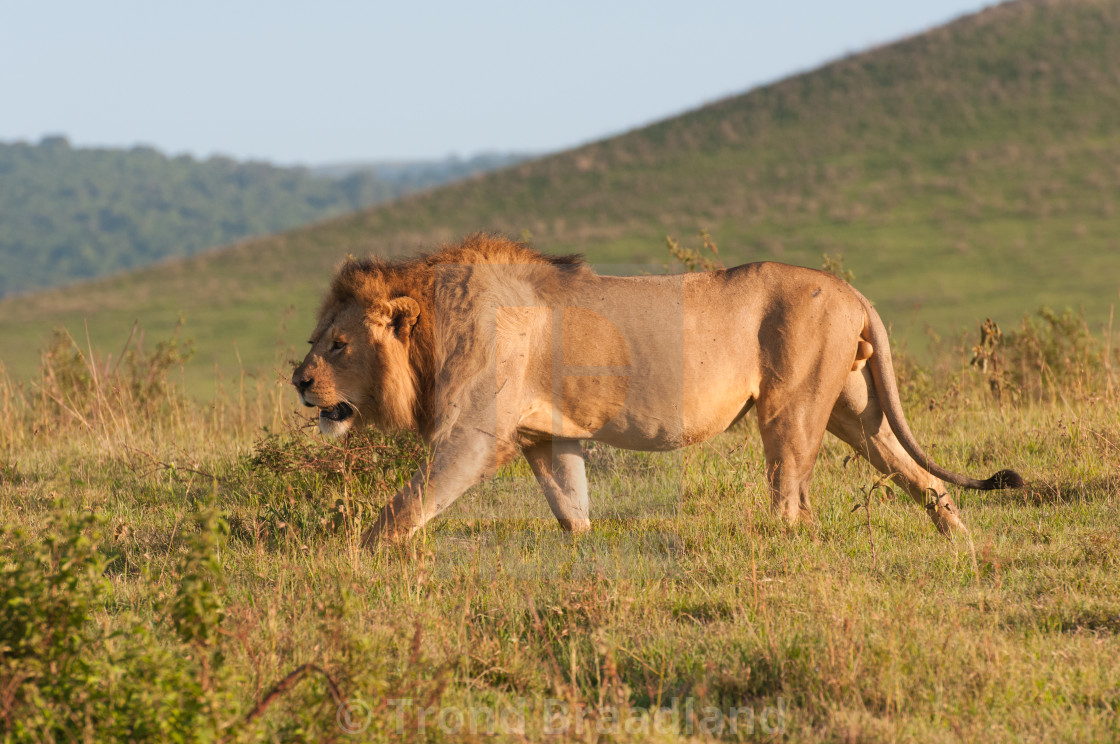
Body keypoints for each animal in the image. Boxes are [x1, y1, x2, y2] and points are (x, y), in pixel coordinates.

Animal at [291, 234, 1025, 546]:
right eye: (316, 336)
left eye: (338, 344)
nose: (299, 382)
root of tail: (851, 289)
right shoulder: (546, 436)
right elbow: (571, 506)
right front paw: (584, 549)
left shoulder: (471, 436)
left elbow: (404, 506)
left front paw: (350, 561)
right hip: (853, 408)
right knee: (914, 474)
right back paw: (957, 539)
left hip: (790, 409)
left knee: (793, 501)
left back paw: (777, 548)